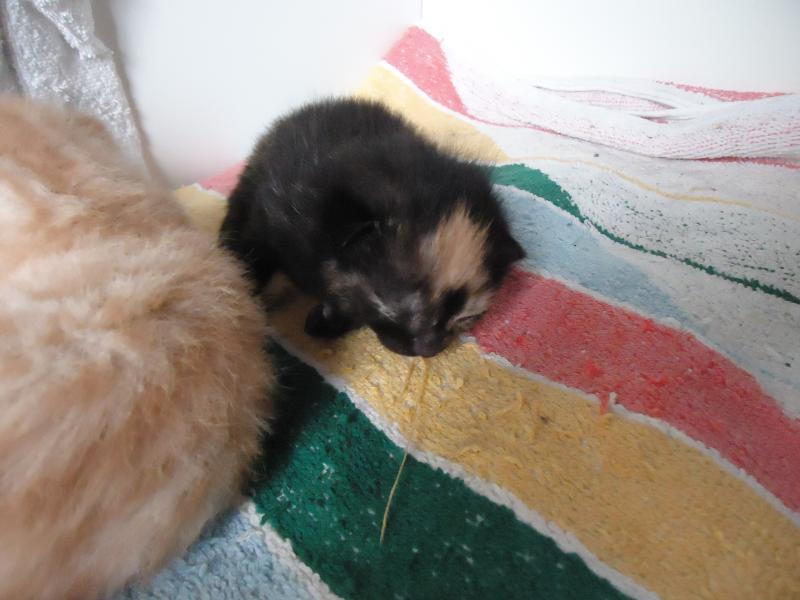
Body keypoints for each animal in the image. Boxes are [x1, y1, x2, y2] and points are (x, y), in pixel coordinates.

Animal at [220, 97, 524, 357]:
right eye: (404, 309)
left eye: (466, 318)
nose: (431, 349)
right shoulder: (274, 211)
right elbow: (256, 250)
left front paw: (330, 320)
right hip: (255, 174)